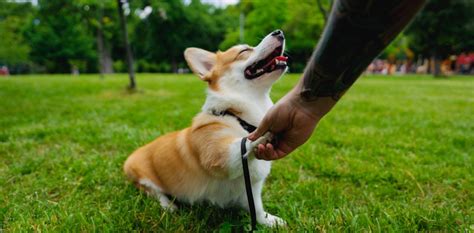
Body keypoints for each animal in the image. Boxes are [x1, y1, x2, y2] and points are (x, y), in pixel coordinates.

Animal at [124, 29, 288, 228]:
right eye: (244, 51)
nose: (279, 32)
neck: (237, 116)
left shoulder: (251, 189)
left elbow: (257, 210)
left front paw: (270, 221)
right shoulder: (221, 158)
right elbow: (245, 141)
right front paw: (267, 131)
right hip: (143, 178)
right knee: (155, 193)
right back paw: (169, 206)